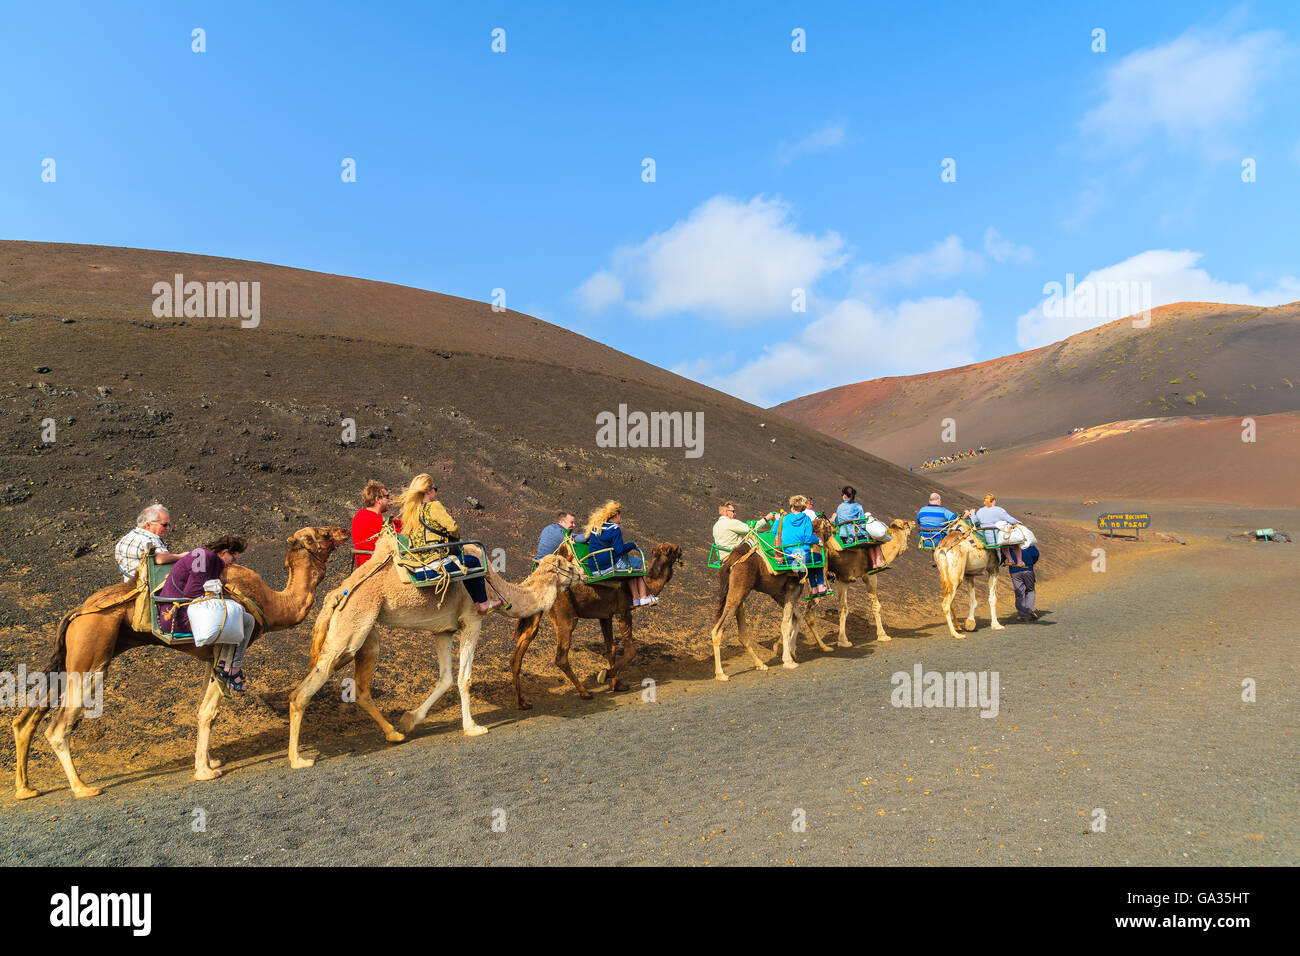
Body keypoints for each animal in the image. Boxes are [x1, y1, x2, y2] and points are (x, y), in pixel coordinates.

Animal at [12, 528, 348, 806]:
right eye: (322, 533)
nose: (342, 531)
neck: (273, 603)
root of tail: (75, 613)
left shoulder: (211, 655)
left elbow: (204, 710)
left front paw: (209, 762)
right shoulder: (230, 645)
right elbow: (209, 711)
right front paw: (204, 772)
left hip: (73, 656)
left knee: (28, 716)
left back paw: (25, 788)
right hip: (93, 653)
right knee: (59, 726)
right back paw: (82, 787)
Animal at [506, 538, 686, 712]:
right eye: (671, 550)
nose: (680, 549)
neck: (648, 583)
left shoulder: (605, 615)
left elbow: (610, 649)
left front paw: (618, 685)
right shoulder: (624, 611)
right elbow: (630, 651)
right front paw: (606, 674)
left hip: (535, 614)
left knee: (517, 655)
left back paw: (522, 703)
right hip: (565, 616)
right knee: (561, 657)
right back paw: (584, 692)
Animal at [707, 515, 837, 681]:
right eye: (828, 525)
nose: (834, 529)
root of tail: (731, 561)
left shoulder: (777, 593)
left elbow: (796, 619)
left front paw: (790, 650)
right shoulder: (793, 588)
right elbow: (787, 623)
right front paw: (788, 660)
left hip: (738, 594)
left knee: (741, 633)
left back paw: (760, 664)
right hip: (738, 593)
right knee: (717, 631)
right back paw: (721, 674)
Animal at [795, 522, 920, 650]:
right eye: (906, 524)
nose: (914, 523)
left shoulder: (843, 579)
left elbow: (843, 608)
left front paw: (843, 641)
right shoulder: (869, 575)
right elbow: (876, 606)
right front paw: (883, 635)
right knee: (808, 614)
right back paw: (823, 647)